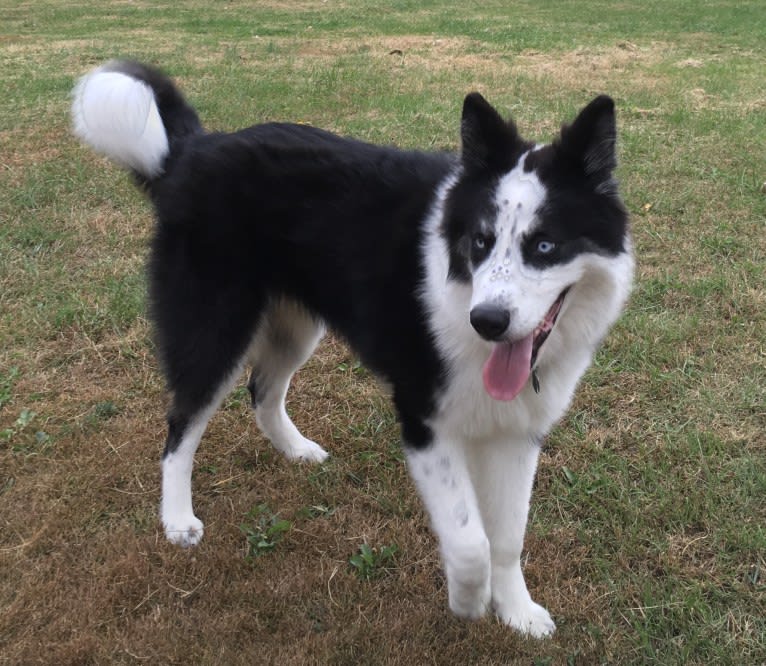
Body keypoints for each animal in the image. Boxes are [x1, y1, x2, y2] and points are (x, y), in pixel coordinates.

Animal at [72, 61, 636, 632]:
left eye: (544, 245)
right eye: (480, 241)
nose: (487, 322)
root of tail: (195, 148)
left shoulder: (516, 432)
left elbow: (506, 536)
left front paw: (517, 612)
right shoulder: (423, 418)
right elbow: (469, 539)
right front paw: (469, 602)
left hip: (295, 328)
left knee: (262, 391)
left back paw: (295, 449)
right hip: (215, 329)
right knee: (181, 427)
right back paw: (178, 520)